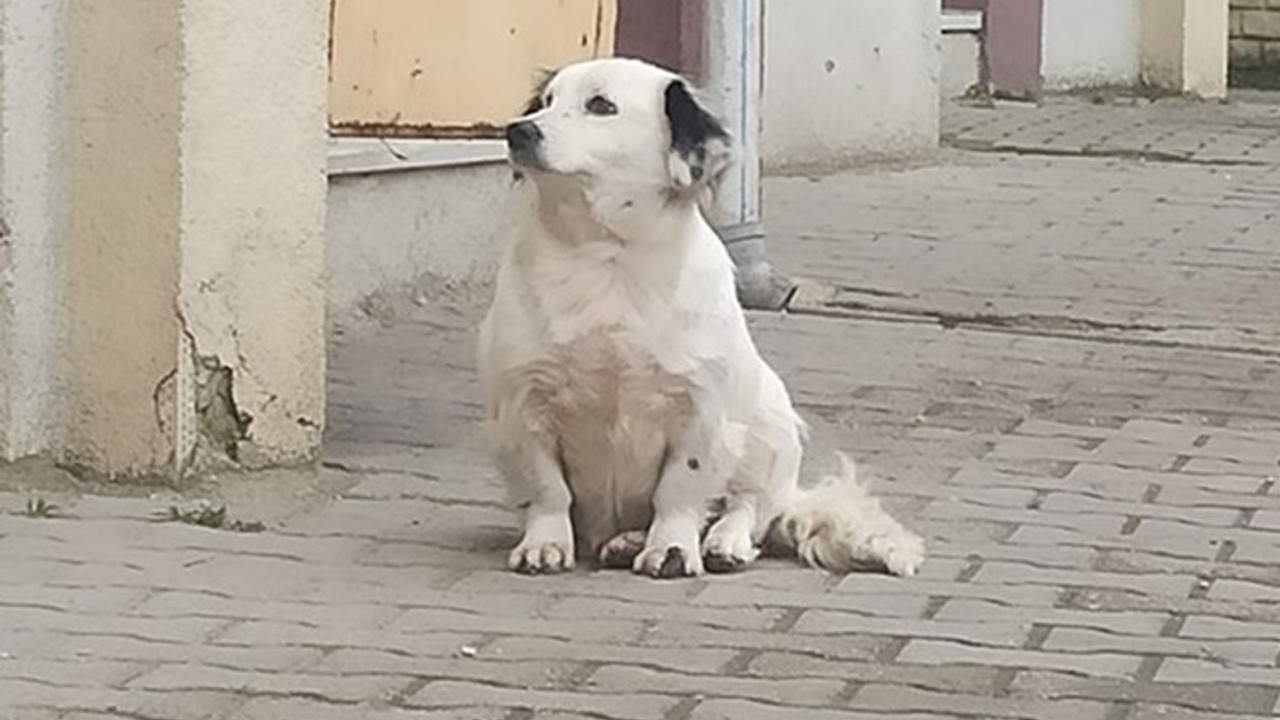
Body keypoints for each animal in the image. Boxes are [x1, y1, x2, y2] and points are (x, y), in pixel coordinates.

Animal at [476, 58, 926, 579]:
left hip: (772, 422)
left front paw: (672, 548)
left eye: (601, 105)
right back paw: (626, 540)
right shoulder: (523, 404)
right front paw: (544, 544)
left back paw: (721, 543)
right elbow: (548, 489)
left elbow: (680, 491)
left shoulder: (700, 410)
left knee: (748, 509)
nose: (518, 131)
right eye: (547, 102)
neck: (607, 256)